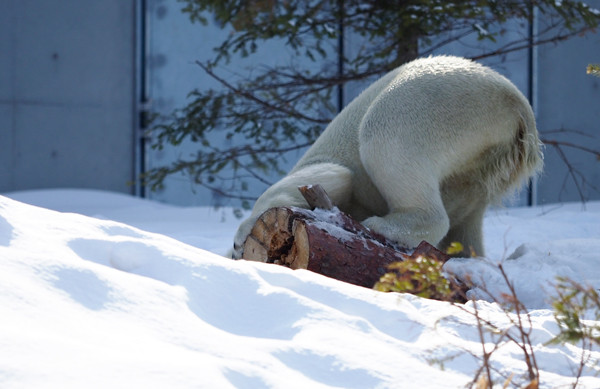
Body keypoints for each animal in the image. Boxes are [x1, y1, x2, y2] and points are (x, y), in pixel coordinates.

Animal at [232, 55, 540, 258]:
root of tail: (518, 107)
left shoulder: (323, 168)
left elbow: (332, 176)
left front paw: (238, 241)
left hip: (441, 105)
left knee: (383, 134)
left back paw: (383, 225)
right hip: (475, 172)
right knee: (466, 224)